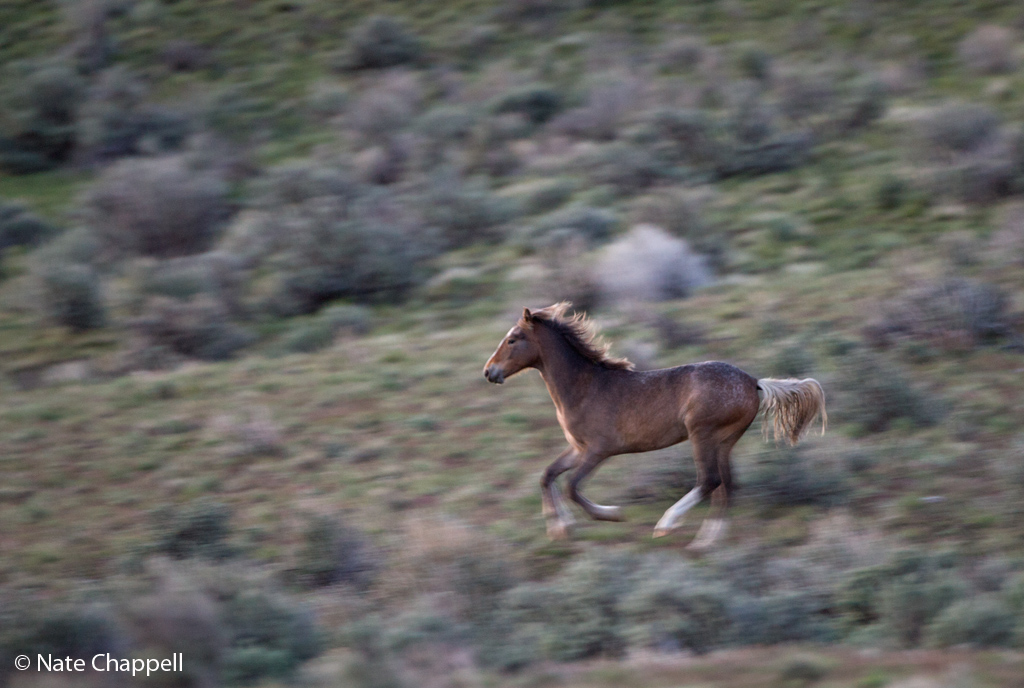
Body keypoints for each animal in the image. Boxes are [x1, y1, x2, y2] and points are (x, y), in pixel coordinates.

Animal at [483, 302, 827, 549]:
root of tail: (754, 382)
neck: (583, 387)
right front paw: (560, 528)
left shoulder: (598, 450)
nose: (489, 372)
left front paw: (611, 514)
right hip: (725, 441)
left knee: (709, 480)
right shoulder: (577, 448)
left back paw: (667, 525)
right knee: (728, 486)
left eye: (512, 339)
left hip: (702, 435)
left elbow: (571, 487)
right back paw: (707, 540)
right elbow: (548, 475)